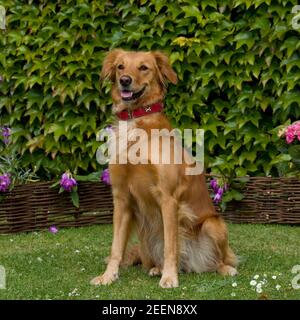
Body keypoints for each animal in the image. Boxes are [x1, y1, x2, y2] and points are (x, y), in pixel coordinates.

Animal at [90, 48, 238, 288]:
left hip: (215, 225)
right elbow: (116, 247)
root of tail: (191, 265)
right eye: (121, 66)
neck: (136, 123)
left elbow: (171, 245)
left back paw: (223, 268)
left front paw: (170, 277)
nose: (125, 80)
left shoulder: (168, 198)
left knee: (220, 259)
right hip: (145, 236)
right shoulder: (121, 198)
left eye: (143, 67)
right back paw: (156, 269)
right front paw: (108, 276)